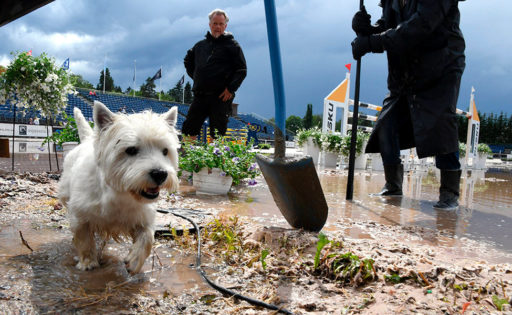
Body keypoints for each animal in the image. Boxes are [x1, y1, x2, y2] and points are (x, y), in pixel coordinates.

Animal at [59, 102, 180, 274]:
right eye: (131, 150)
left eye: (165, 151)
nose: (160, 174)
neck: (121, 193)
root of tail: (87, 140)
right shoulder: (80, 215)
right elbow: (84, 240)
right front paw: (88, 262)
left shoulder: (142, 217)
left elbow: (147, 237)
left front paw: (134, 261)